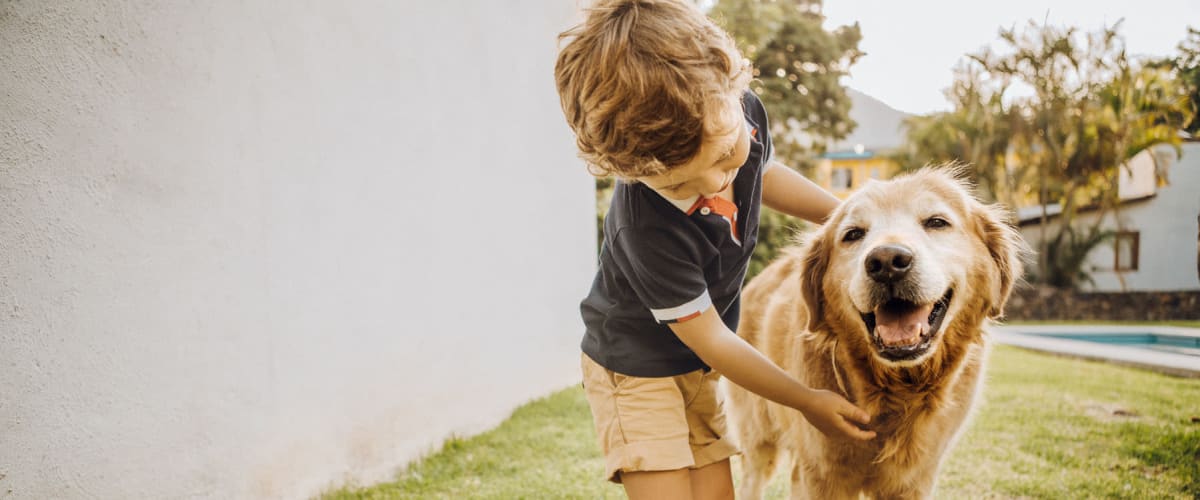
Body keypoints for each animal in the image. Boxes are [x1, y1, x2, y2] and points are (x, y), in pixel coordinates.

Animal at [720, 165, 1022, 496]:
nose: (887, 262)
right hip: (759, 437)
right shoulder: (822, 474)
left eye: (936, 222)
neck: (897, 388)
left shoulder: (914, 481)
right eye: (853, 234)